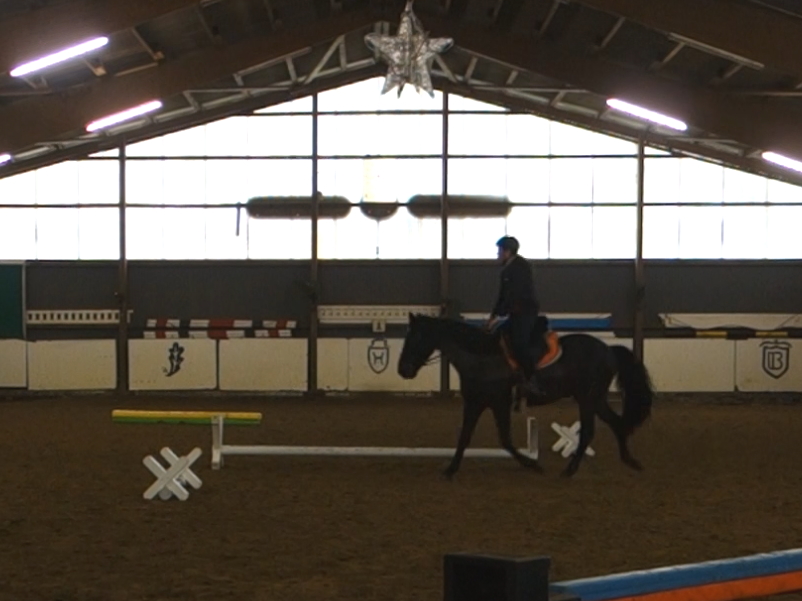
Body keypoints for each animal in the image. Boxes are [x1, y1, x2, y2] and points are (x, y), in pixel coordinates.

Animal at [397, 313, 654, 478]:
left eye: (415, 337)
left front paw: (532, 464)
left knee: (589, 431)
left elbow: (504, 439)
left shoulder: (497, 402)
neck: (480, 357)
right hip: (596, 398)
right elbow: (466, 437)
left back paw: (569, 470)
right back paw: (629, 461)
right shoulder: (476, 402)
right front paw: (451, 469)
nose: (403, 370)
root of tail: (608, 349)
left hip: (587, 399)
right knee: (617, 422)